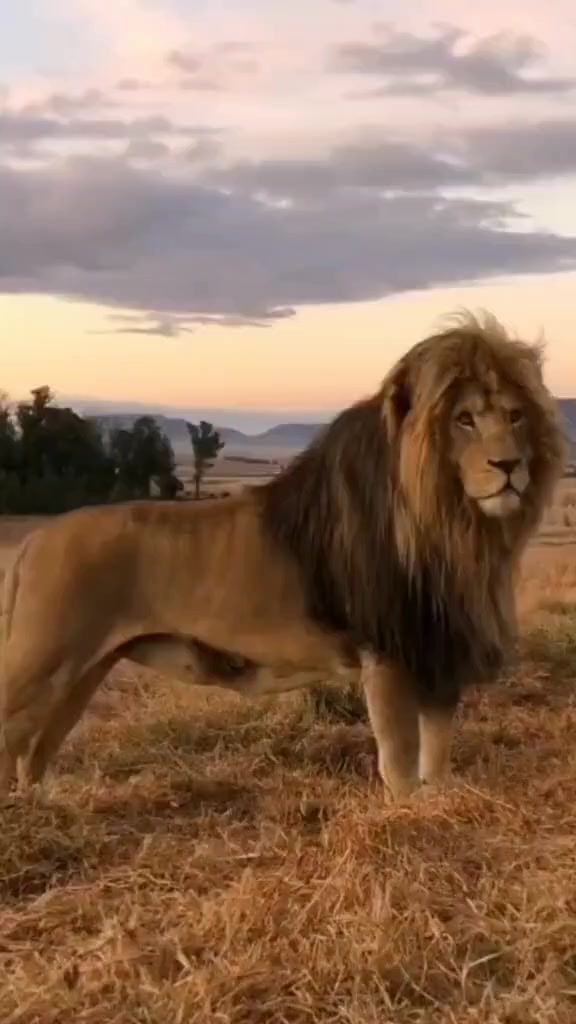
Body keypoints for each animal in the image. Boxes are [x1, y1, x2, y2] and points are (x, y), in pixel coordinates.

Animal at [0, 311, 567, 801]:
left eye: (516, 416)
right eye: (464, 420)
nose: (510, 465)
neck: (458, 529)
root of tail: (33, 541)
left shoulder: (439, 649)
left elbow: (437, 754)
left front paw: (436, 804)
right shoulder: (387, 650)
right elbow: (400, 760)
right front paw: (407, 812)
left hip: (84, 671)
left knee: (34, 750)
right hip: (43, 658)